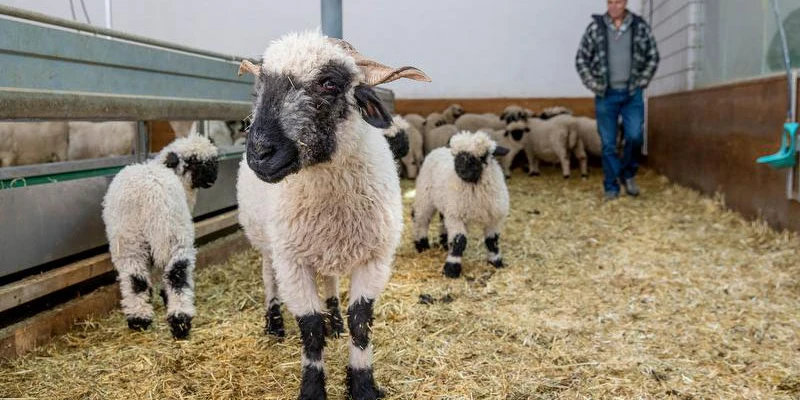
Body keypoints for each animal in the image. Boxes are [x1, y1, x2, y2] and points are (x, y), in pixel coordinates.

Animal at [102, 134, 219, 339]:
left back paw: (139, 319)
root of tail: (145, 197)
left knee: (134, 279)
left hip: (128, 240)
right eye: (195, 162)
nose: (212, 179)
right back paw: (180, 322)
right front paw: (164, 297)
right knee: (177, 275)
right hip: (173, 236)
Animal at [236, 31, 430, 399]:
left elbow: (360, 321)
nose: (260, 153)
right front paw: (312, 388)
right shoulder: (293, 263)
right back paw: (274, 323)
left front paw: (363, 383)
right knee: (269, 278)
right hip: (268, 243)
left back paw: (335, 321)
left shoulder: (374, 259)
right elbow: (310, 327)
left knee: (330, 281)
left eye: (329, 83)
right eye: (260, 87)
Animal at [413, 131, 510, 278]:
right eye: (456, 155)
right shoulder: (456, 216)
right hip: (425, 197)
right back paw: (422, 245)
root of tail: (438, 149)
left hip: (446, 203)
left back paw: (444, 244)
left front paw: (496, 262)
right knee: (421, 220)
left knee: (442, 220)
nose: (461, 170)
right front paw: (452, 269)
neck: (474, 187)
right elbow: (460, 241)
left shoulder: (494, 218)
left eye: (482, 156)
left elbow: (492, 241)